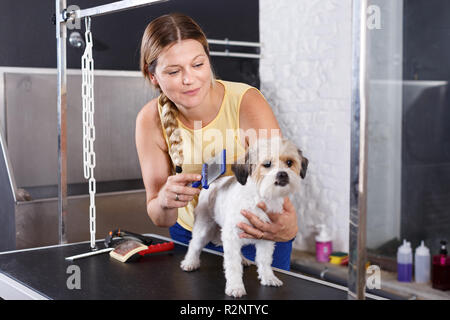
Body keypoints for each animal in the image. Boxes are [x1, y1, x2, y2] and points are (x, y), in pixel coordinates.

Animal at [181, 136, 308, 298]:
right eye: (267, 164)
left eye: (290, 163)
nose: (282, 174)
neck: (260, 197)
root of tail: (213, 182)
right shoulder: (231, 235)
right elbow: (233, 266)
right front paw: (235, 286)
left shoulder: (267, 236)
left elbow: (264, 260)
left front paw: (268, 277)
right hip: (204, 227)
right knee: (195, 245)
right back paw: (190, 262)